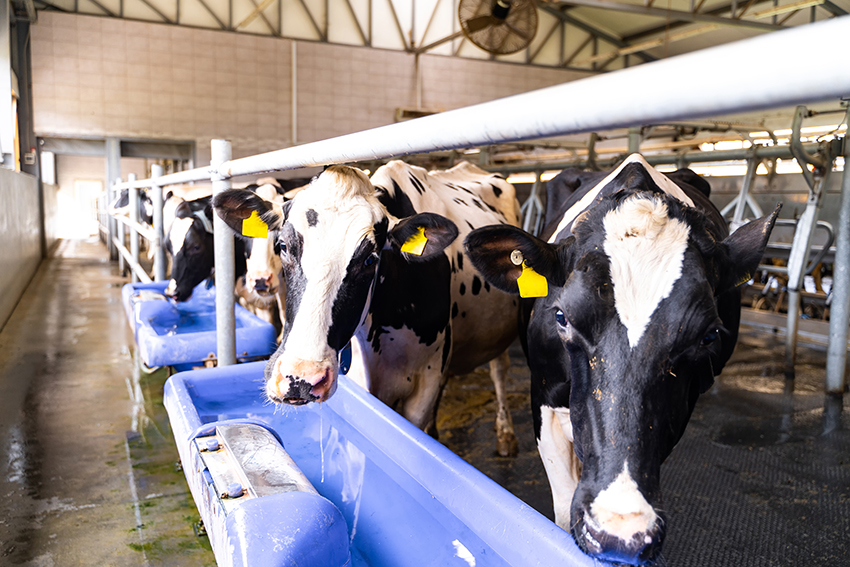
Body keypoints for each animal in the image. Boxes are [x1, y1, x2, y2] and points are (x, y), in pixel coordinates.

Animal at [212, 161, 524, 458]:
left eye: (370, 260)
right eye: (284, 246)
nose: (301, 378)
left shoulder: (426, 382)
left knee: (499, 369)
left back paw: (506, 435)